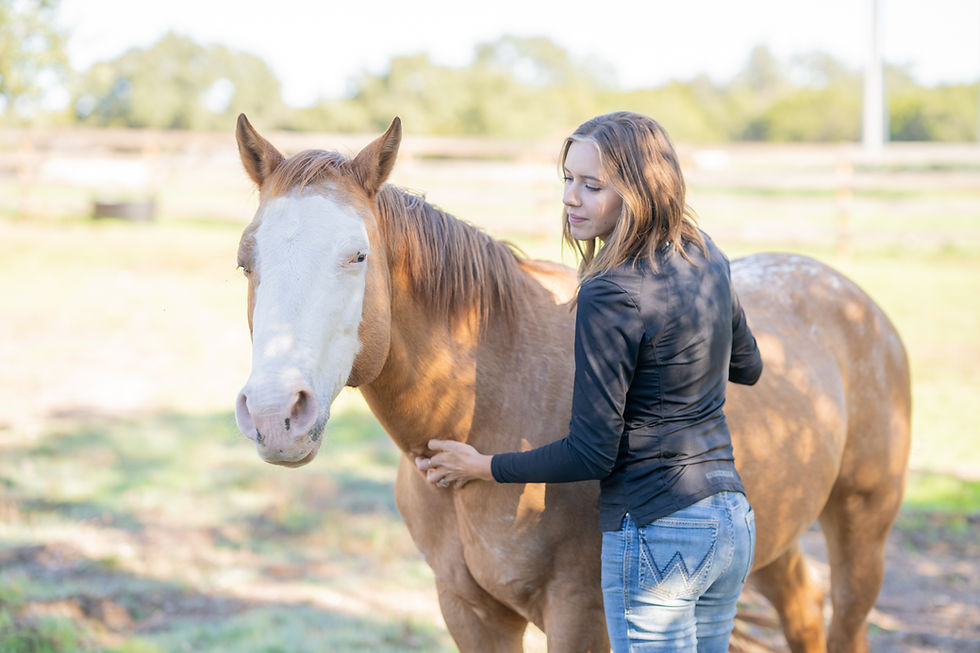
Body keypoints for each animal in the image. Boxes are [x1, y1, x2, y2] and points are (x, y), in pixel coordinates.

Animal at [231, 114, 911, 652]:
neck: (485, 406)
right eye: (245, 260)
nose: (274, 414)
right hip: (771, 534)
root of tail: (852, 299)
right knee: (803, 610)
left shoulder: (584, 615)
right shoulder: (469, 612)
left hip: (861, 529)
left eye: (358, 255)